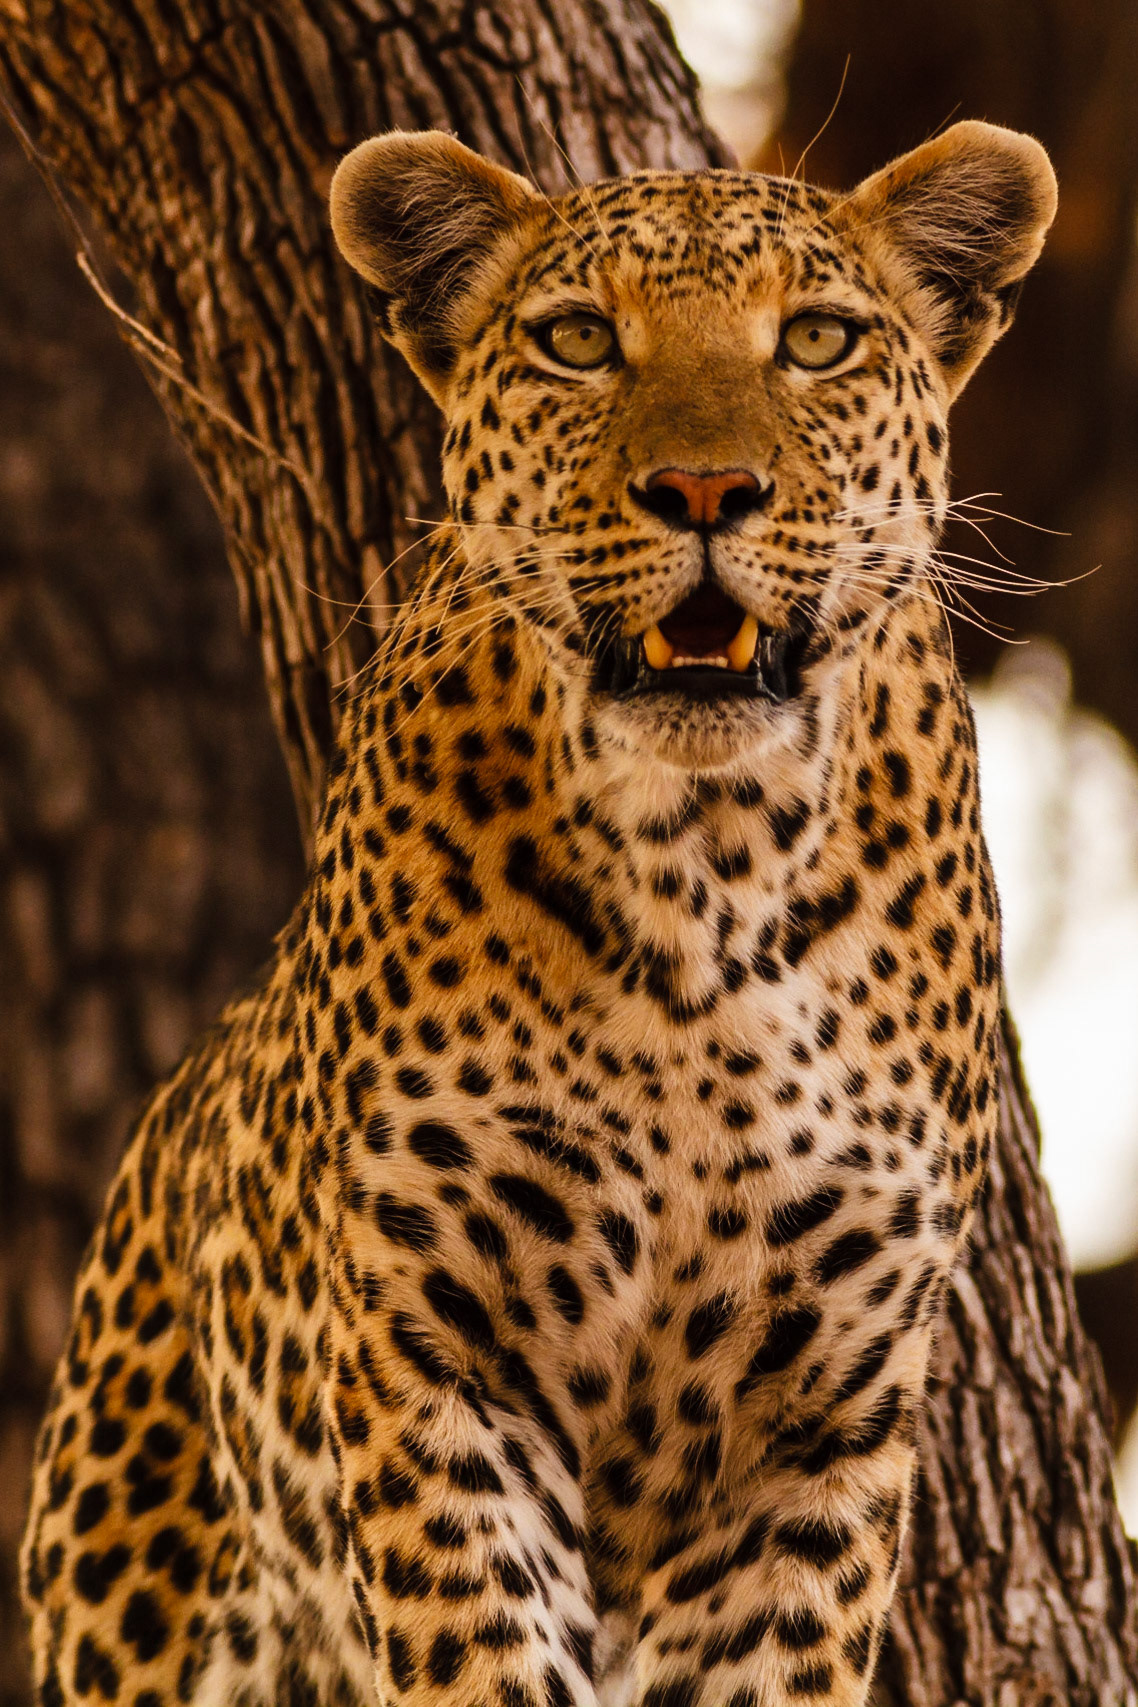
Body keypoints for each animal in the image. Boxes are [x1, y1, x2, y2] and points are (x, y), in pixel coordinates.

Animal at [21, 117, 1057, 1707]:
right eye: (576, 341)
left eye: (816, 339)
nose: (703, 490)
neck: (707, 865)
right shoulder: (439, 1351)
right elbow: (478, 1650)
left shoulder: (816, 1425)